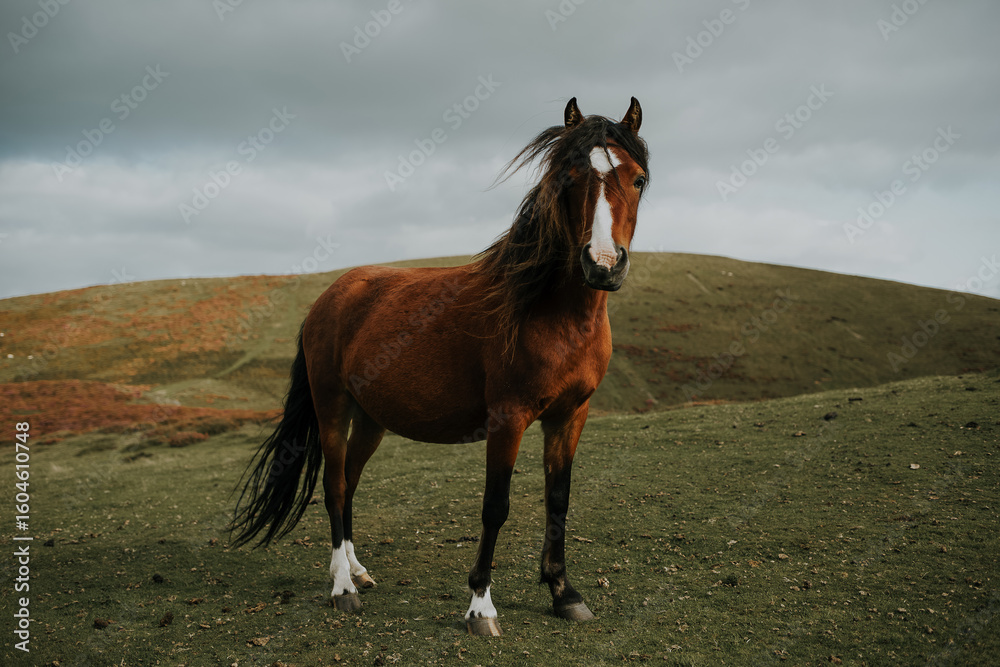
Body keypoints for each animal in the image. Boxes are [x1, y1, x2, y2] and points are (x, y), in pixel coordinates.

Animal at [231, 96, 649, 636]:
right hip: (332, 408)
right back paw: (343, 588)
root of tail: (333, 295)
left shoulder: (570, 416)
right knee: (334, 486)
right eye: (569, 180)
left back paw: (358, 571)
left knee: (350, 483)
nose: (602, 264)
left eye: (638, 180)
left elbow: (558, 500)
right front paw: (480, 606)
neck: (548, 312)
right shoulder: (508, 419)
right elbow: (496, 507)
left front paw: (564, 594)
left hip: (371, 420)